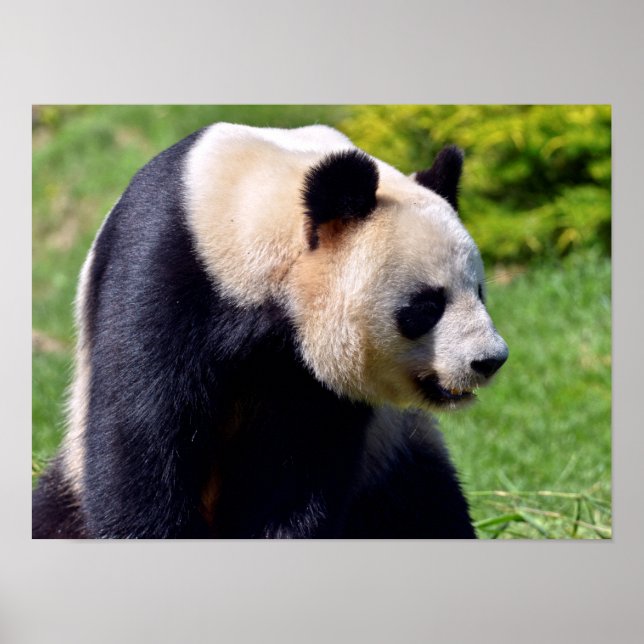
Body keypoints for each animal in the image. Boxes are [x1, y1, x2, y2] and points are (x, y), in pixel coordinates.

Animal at [32, 122, 508, 539]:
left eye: (479, 292)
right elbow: (142, 434)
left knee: (425, 506)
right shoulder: (166, 268)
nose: (489, 360)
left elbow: (296, 466)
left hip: (393, 455)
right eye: (426, 307)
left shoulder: (308, 379)